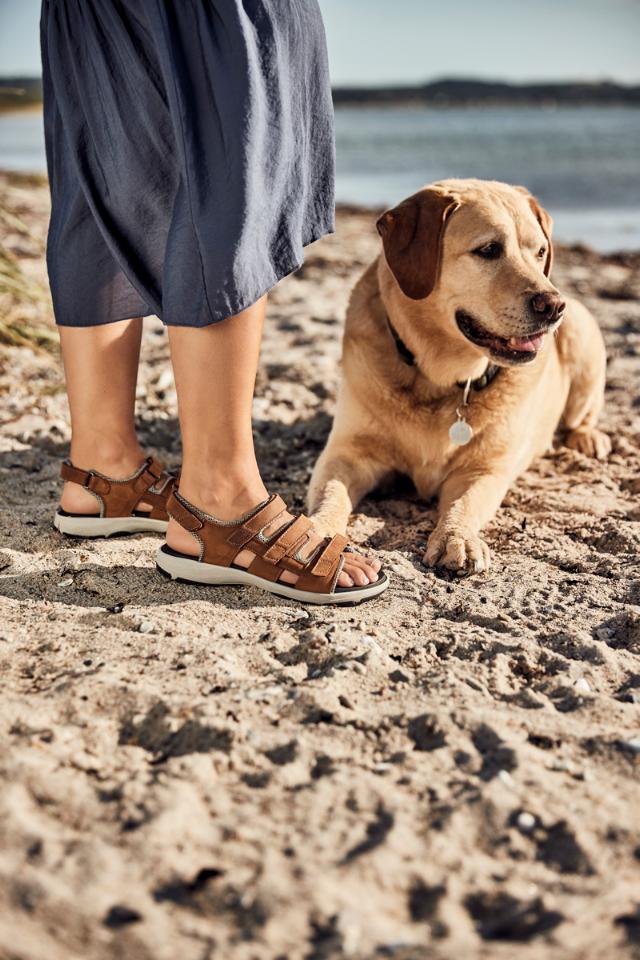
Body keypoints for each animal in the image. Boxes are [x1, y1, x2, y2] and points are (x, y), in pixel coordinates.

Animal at [310, 178, 608, 568]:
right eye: (488, 250)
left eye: (541, 251)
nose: (554, 306)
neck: (441, 379)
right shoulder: (346, 453)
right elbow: (331, 495)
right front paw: (316, 530)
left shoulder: (483, 469)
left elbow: (464, 504)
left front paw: (457, 537)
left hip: (582, 335)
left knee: (581, 414)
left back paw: (588, 438)